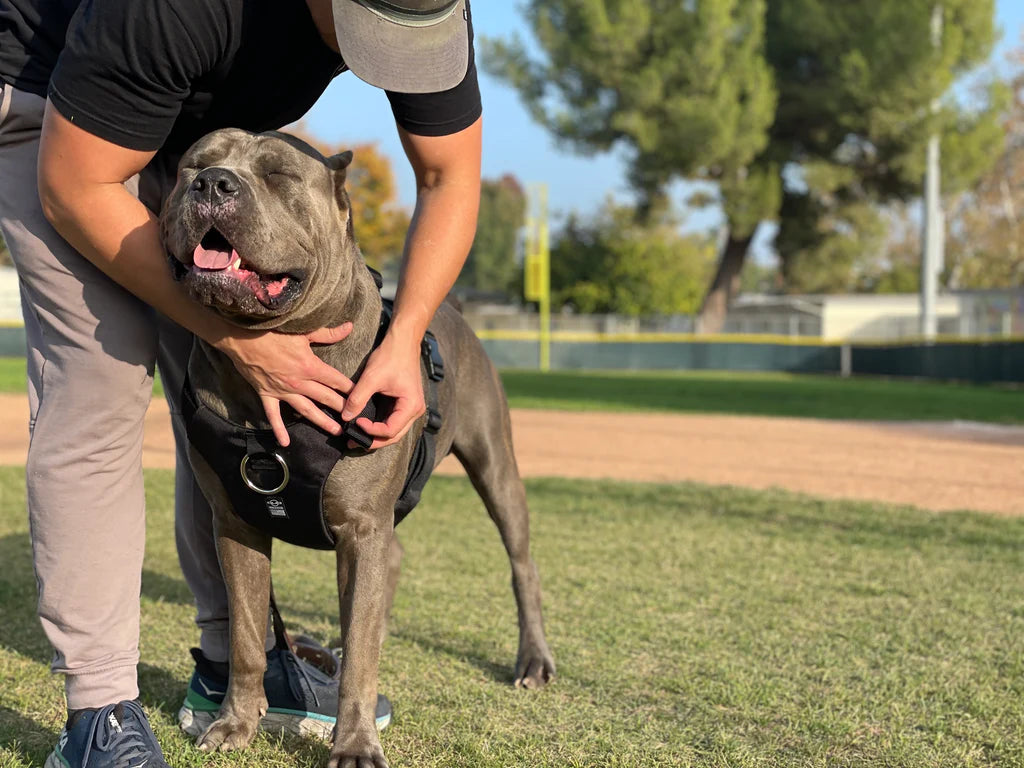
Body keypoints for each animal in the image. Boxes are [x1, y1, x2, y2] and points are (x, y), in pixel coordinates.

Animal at [160, 129, 557, 765]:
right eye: (194, 165)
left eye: (278, 175)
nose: (213, 183)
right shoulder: (236, 524)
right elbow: (246, 634)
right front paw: (235, 722)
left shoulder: (362, 528)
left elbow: (361, 662)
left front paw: (354, 743)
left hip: (496, 465)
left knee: (522, 563)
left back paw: (533, 659)